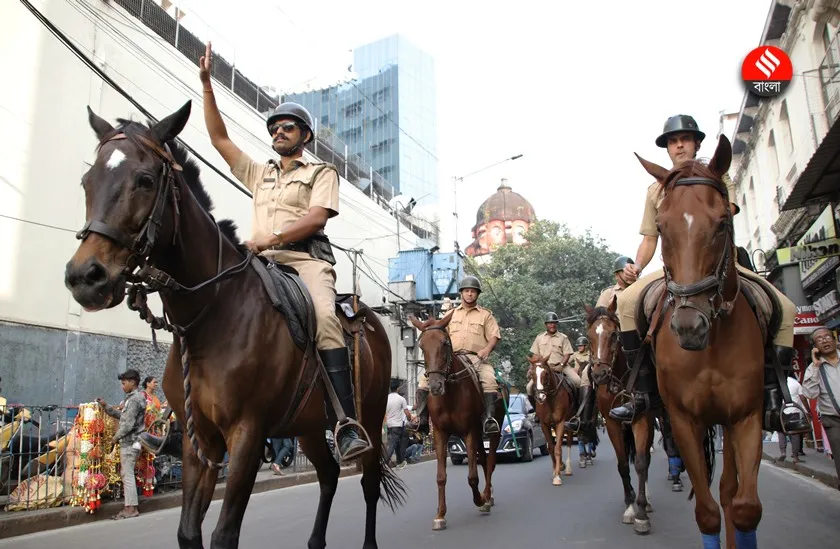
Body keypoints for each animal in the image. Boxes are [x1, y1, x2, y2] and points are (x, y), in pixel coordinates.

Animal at [64, 103, 406, 548]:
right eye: (88, 181)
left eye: (145, 180)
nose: (85, 277)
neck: (210, 315)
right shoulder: (200, 441)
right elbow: (188, 531)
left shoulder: (247, 435)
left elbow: (224, 534)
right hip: (309, 424)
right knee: (329, 474)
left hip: (371, 415)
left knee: (368, 481)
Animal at [408, 314, 506, 528]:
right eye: (422, 346)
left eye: (445, 343)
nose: (435, 386)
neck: (450, 393)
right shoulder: (439, 433)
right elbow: (441, 477)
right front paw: (440, 515)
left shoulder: (469, 431)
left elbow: (472, 476)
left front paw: (479, 500)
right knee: (483, 460)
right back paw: (488, 495)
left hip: (493, 430)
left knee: (490, 461)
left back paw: (487, 497)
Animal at [528, 356, 576, 484]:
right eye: (532, 374)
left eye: (545, 373)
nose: (540, 397)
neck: (550, 399)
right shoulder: (544, 424)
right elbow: (551, 447)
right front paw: (556, 471)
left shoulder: (561, 422)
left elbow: (558, 448)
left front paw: (557, 477)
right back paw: (561, 466)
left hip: (569, 422)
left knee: (569, 441)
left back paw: (568, 468)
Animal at [584, 300, 656, 532]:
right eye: (589, 335)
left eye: (614, 334)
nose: (599, 374)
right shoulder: (612, 422)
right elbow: (623, 464)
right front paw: (630, 506)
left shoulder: (642, 418)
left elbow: (641, 462)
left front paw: (641, 513)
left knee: (647, 458)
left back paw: (647, 500)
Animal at [632, 134, 764, 548]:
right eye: (661, 226)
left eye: (723, 222)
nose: (690, 327)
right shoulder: (682, 419)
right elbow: (707, 512)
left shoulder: (745, 415)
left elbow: (744, 506)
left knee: (730, 490)